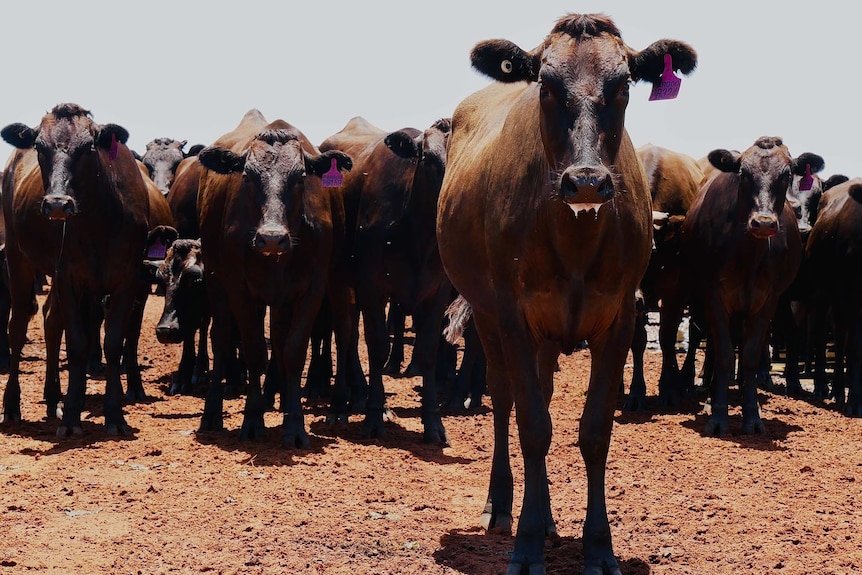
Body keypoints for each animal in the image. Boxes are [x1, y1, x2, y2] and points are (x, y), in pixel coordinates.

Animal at [0, 104, 150, 436]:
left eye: (89, 147)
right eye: (39, 147)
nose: (58, 204)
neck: (99, 222)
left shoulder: (128, 279)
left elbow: (112, 343)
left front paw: (114, 415)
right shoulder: (68, 278)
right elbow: (78, 344)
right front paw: (71, 417)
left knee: (50, 320)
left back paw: (54, 396)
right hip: (17, 257)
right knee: (17, 327)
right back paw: (13, 406)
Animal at [197, 110, 352, 448]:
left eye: (300, 178)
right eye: (247, 177)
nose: (271, 237)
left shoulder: (313, 288)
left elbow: (293, 350)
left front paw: (294, 425)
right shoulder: (237, 286)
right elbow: (255, 350)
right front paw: (253, 420)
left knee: (291, 338)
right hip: (216, 280)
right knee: (222, 337)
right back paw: (212, 414)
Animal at [318, 116, 452, 440]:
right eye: (428, 160)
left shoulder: (438, 292)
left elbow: (427, 351)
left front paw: (433, 422)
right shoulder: (371, 286)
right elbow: (378, 346)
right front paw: (374, 415)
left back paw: (359, 395)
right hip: (338, 281)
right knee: (346, 336)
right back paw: (341, 403)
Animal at [438, 13, 696, 575]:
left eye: (623, 86)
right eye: (546, 86)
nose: (586, 182)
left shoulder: (620, 319)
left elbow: (594, 429)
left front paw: (598, 547)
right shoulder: (513, 317)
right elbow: (533, 426)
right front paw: (527, 544)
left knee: (544, 392)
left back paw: (550, 516)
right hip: (489, 318)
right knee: (506, 398)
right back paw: (503, 505)